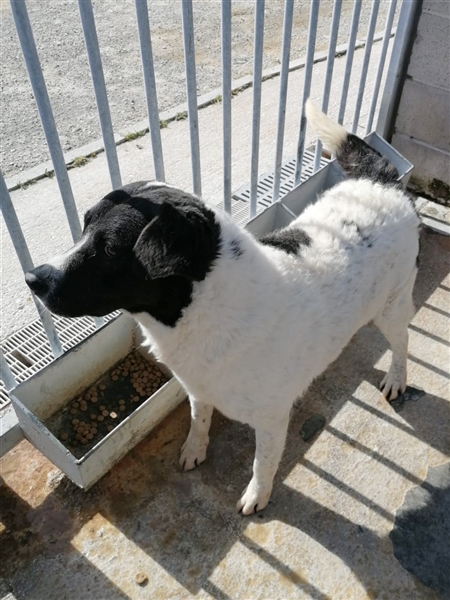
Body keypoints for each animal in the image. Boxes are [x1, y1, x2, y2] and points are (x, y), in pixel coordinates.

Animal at [25, 101, 420, 514]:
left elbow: (263, 463)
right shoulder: (198, 390)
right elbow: (199, 422)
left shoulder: (272, 417)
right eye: (84, 225)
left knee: (402, 342)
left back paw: (397, 378)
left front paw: (257, 496)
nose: (32, 279)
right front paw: (194, 450)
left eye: (112, 248)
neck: (210, 309)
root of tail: (381, 182)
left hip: (391, 308)